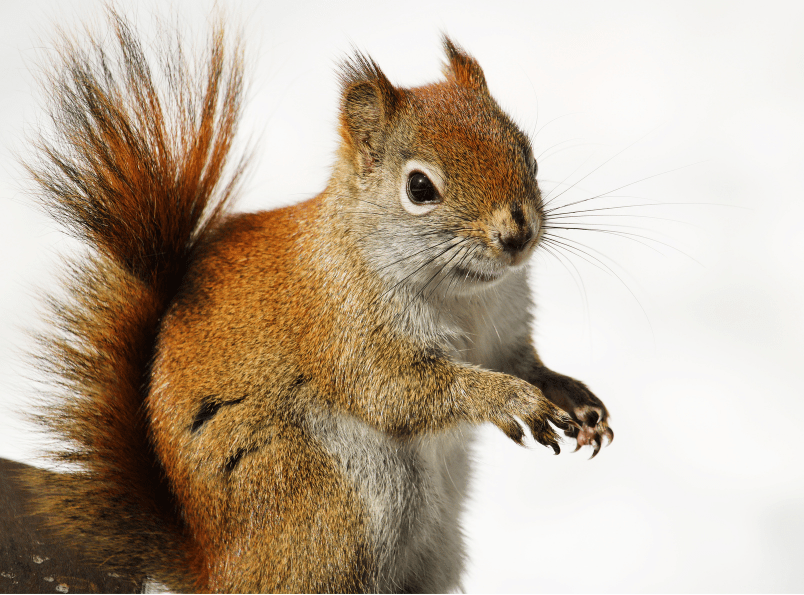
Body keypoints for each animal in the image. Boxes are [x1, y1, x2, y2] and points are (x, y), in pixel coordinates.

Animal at [24, 10, 613, 593]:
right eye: (420, 188)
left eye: (528, 155)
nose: (517, 234)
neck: (467, 294)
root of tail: (213, 566)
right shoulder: (345, 326)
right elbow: (399, 390)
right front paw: (509, 400)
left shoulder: (502, 330)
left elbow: (520, 364)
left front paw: (573, 399)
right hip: (330, 503)